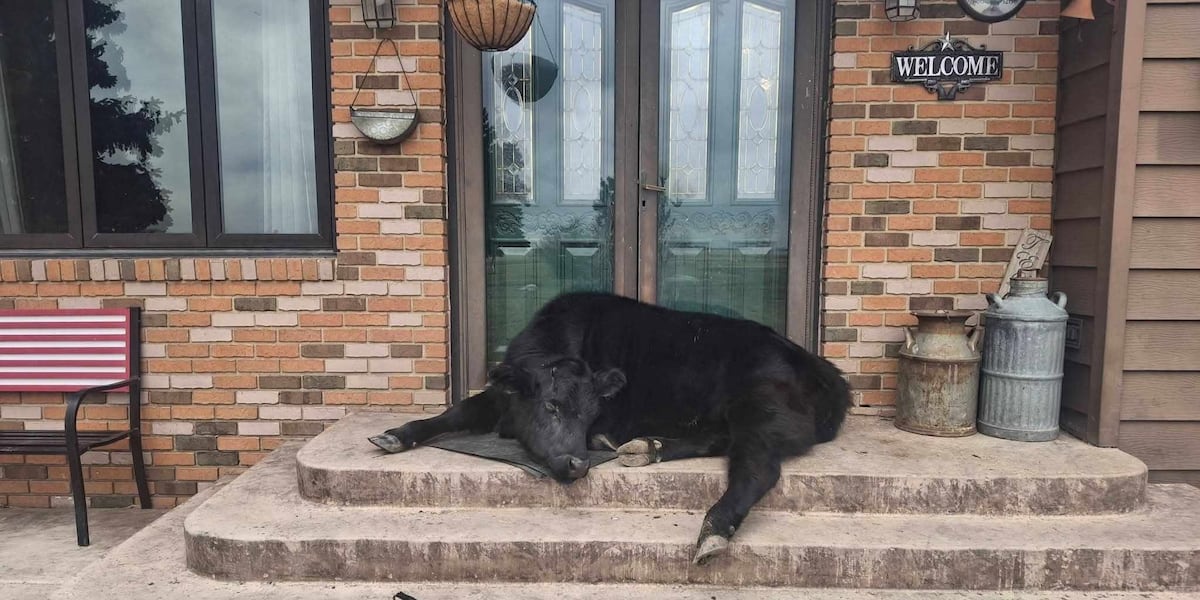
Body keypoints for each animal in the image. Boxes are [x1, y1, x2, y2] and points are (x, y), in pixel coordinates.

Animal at [369, 292, 852, 564]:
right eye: (551, 404)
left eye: (590, 411)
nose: (577, 463)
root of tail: (821, 367)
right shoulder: (497, 398)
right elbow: (456, 412)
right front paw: (395, 435)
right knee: (719, 439)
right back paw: (645, 446)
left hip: (761, 408)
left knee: (756, 467)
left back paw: (712, 531)